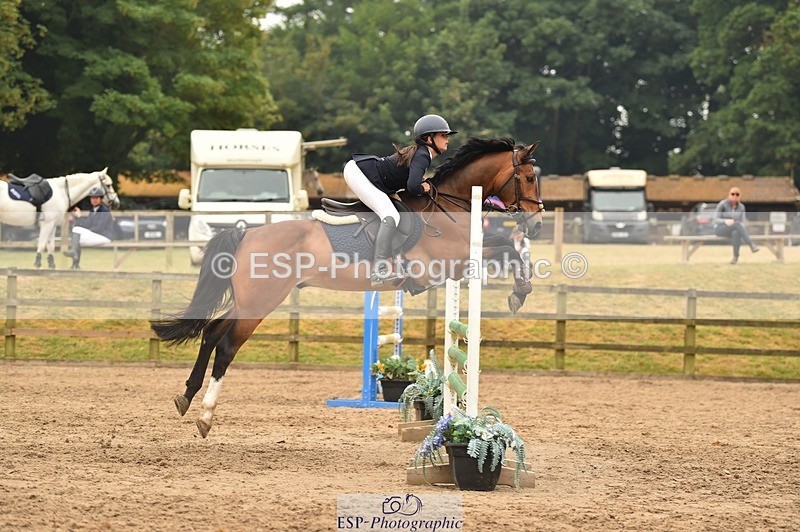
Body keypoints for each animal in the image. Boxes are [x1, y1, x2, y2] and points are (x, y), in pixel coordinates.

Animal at [152, 137, 544, 438]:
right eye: (527, 177)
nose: (537, 223)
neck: (448, 205)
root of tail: (246, 233)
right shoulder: (452, 262)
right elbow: (507, 248)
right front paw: (519, 293)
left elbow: (504, 245)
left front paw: (519, 290)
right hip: (262, 301)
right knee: (227, 346)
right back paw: (205, 416)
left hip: (249, 299)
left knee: (211, 332)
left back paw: (186, 397)